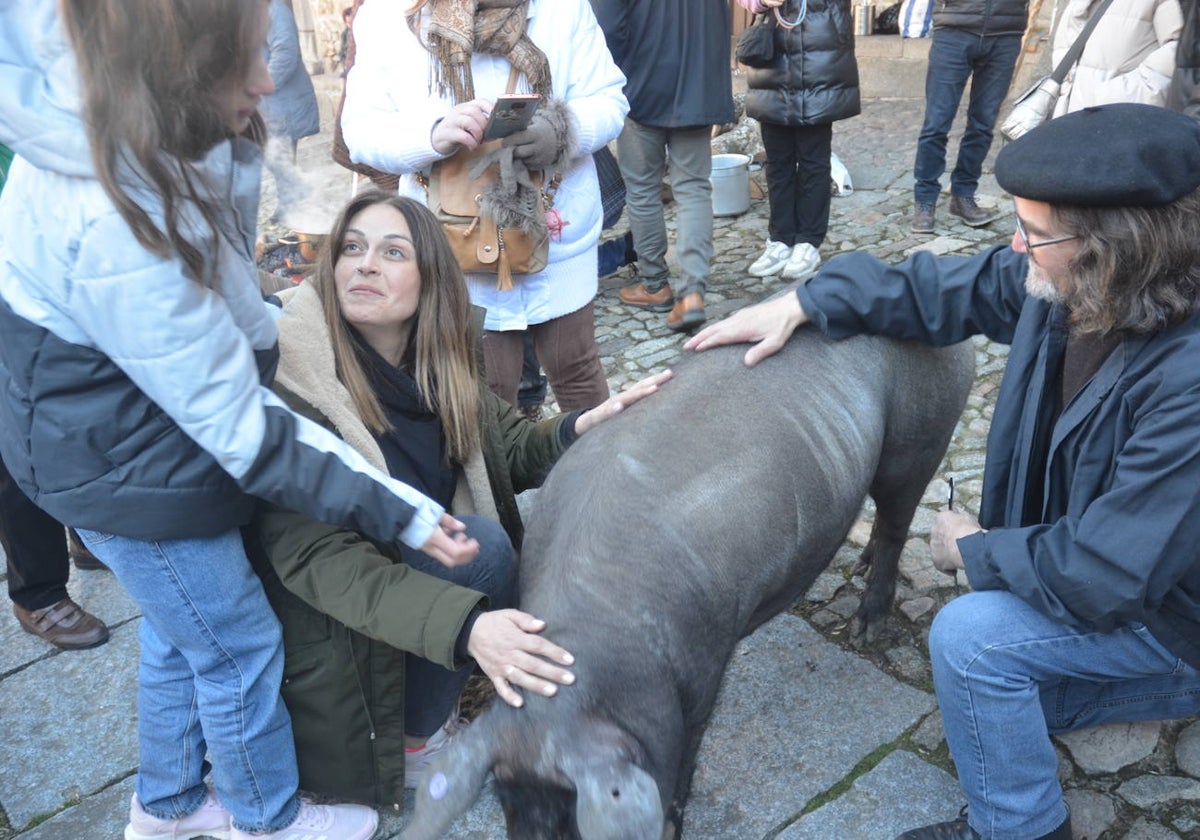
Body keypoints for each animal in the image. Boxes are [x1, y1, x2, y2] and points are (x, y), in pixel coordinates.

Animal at [403, 328, 974, 840]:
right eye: (506, 804)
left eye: (575, 814)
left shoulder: (700, 671)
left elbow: (686, 753)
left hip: (921, 440)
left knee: (898, 521)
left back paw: (865, 629)